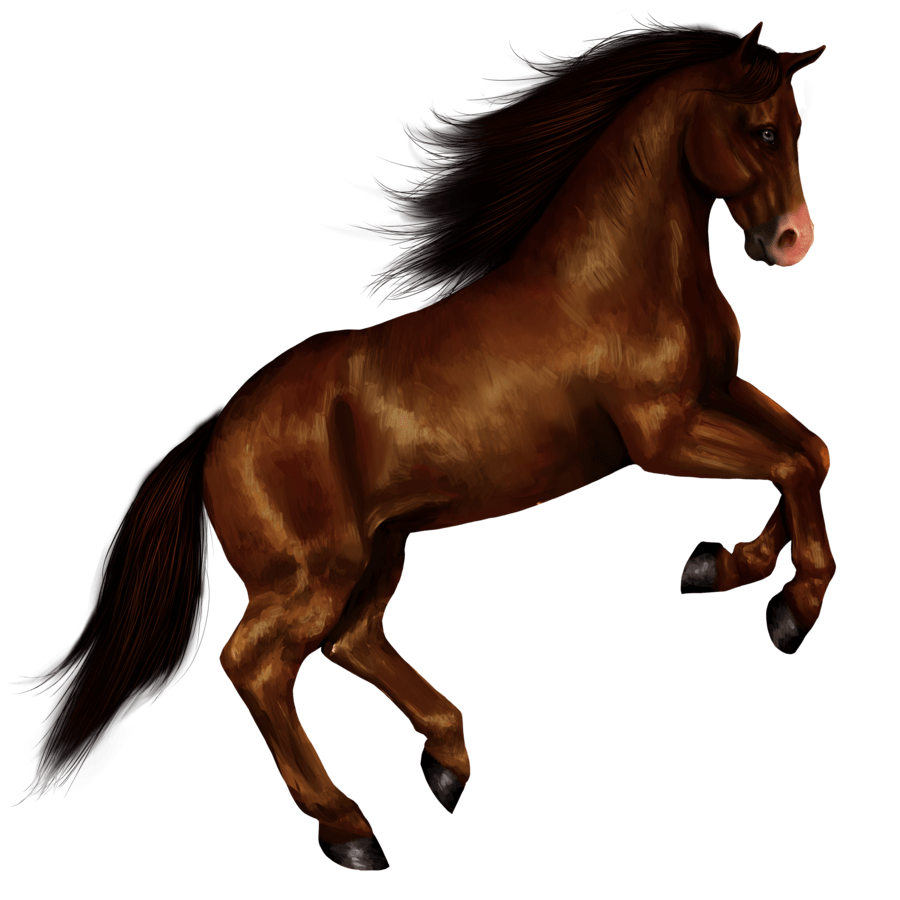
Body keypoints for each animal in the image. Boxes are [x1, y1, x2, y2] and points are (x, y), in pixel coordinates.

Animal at [10, 17, 831, 871]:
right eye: (762, 131)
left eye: (798, 128)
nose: (795, 240)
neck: (615, 282)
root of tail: (216, 429)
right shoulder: (663, 433)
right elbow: (790, 463)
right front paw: (791, 612)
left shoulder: (721, 394)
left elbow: (811, 451)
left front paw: (724, 568)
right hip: (312, 572)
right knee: (257, 665)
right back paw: (350, 830)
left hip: (383, 545)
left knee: (352, 642)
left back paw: (447, 765)